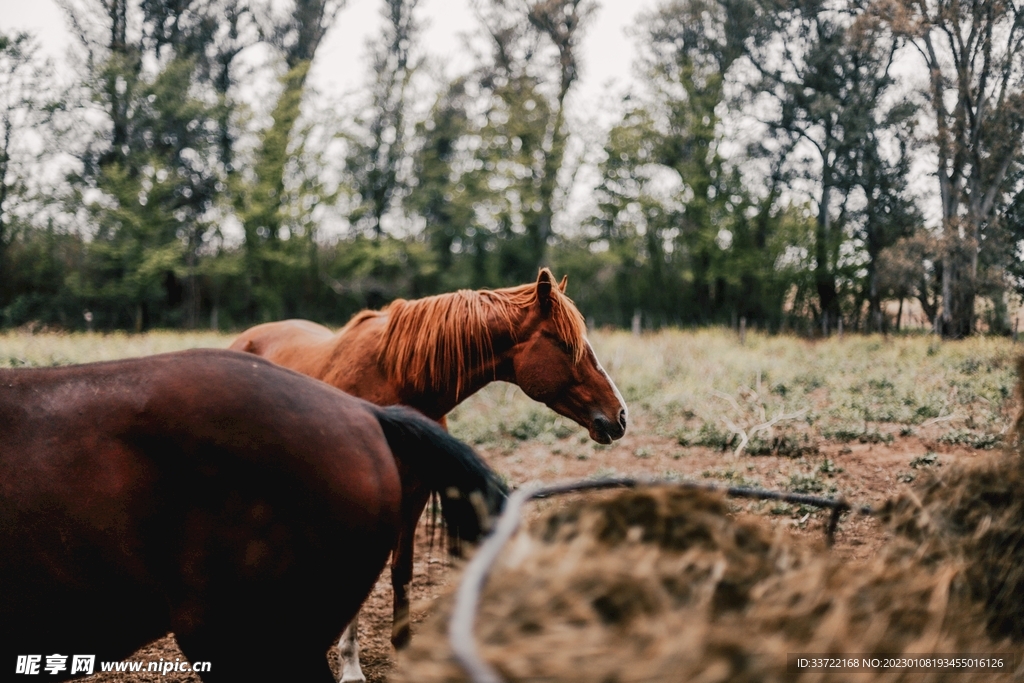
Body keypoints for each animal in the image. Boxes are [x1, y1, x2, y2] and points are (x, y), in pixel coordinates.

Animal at [230, 267, 627, 682]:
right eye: (566, 346)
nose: (619, 416)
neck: (394, 380)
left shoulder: (416, 492)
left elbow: (401, 571)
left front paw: (403, 651)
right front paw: (351, 665)